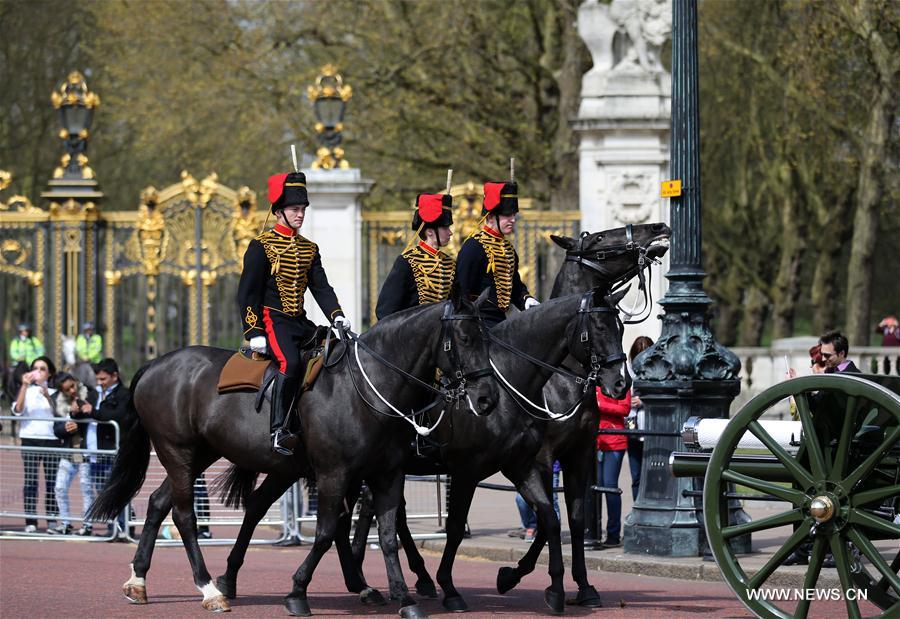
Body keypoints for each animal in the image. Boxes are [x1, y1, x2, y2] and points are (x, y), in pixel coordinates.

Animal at [87, 296, 496, 616]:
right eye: (464, 338)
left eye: (487, 339)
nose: (487, 399)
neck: (370, 388)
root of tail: (156, 364)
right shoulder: (334, 473)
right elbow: (328, 531)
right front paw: (298, 591)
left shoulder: (386, 474)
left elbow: (387, 534)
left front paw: (403, 598)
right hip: (177, 451)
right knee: (184, 515)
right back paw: (210, 589)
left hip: (200, 454)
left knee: (158, 502)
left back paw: (139, 581)